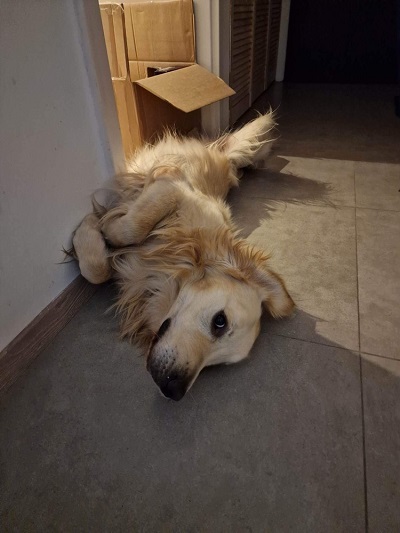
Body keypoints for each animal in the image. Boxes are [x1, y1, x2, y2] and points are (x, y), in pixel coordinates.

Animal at [71, 112, 294, 400]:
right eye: (220, 322)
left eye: (216, 365)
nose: (174, 390)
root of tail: (225, 160)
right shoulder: (171, 186)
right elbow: (127, 230)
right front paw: (97, 225)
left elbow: (99, 269)